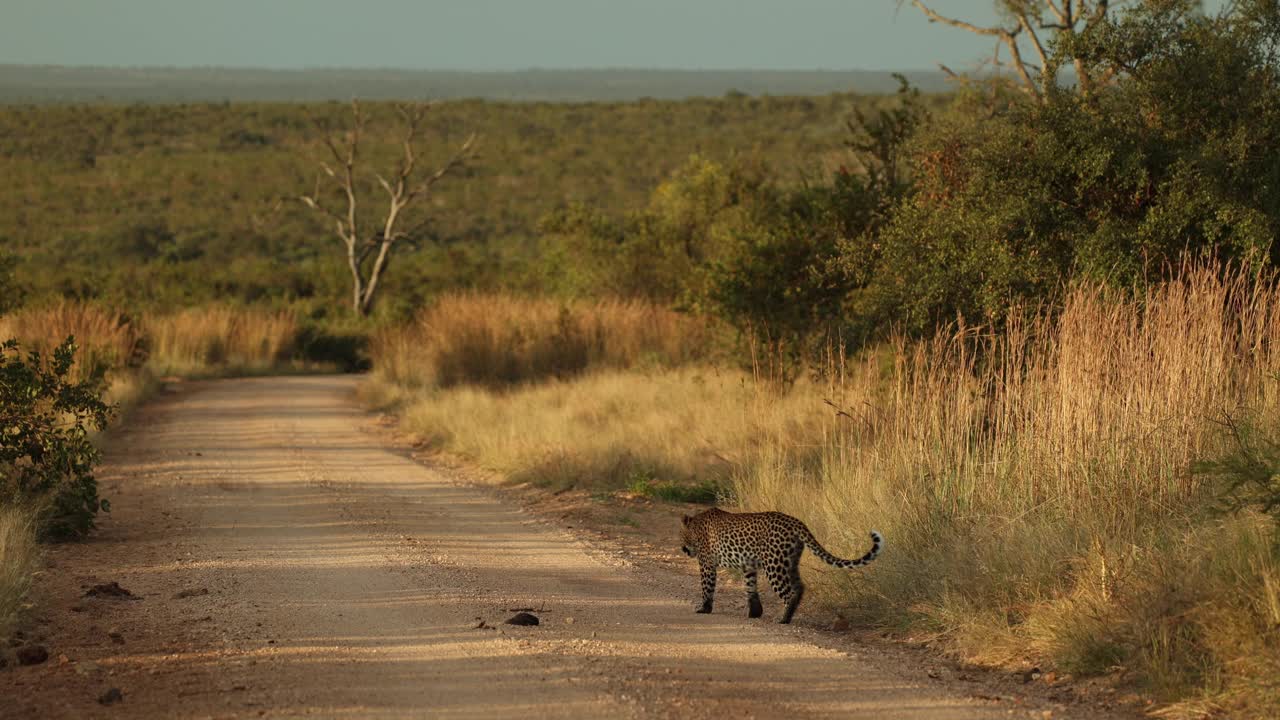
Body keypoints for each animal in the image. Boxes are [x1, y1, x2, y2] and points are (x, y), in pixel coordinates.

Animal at [679, 507, 882, 624]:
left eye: (681, 535)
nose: (682, 548)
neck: (695, 525)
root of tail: (795, 521)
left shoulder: (706, 563)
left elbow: (707, 587)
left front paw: (704, 609)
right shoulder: (749, 565)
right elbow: (750, 587)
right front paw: (755, 612)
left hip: (774, 565)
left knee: (789, 591)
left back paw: (784, 618)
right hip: (788, 563)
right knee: (799, 587)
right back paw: (789, 615)